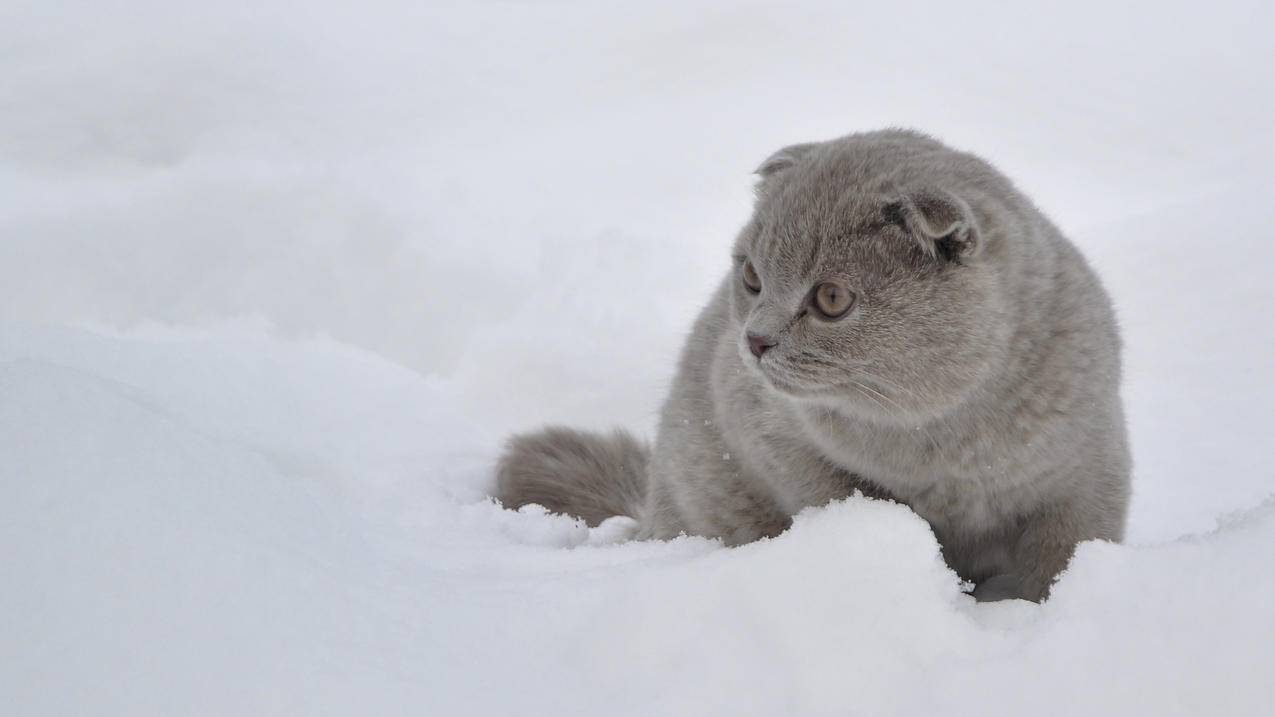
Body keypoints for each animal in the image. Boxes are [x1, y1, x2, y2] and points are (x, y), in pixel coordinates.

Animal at [492, 129, 1132, 602]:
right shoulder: (768, 430)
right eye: (751, 276)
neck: (943, 443)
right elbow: (836, 495)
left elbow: (1062, 552)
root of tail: (647, 506)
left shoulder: (1088, 466)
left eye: (831, 299)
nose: (754, 340)